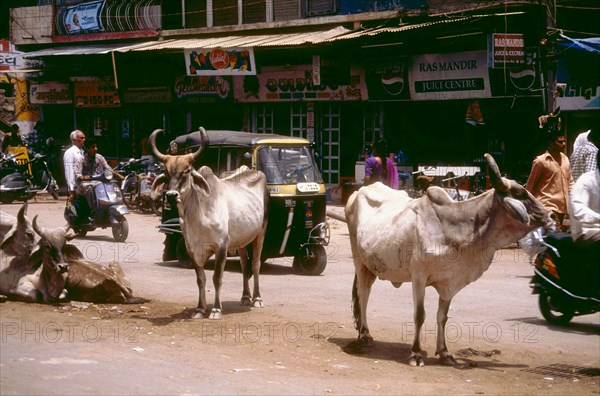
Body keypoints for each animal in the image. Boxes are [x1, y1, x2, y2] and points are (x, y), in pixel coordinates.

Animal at [149, 128, 268, 320]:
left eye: (186, 171)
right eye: (166, 172)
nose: (172, 195)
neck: (199, 214)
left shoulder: (221, 246)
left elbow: (217, 278)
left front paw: (216, 309)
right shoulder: (192, 248)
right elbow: (201, 279)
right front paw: (199, 309)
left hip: (260, 233)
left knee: (255, 264)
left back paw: (257, 298)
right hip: (241, 239)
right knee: (244, 264)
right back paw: (245, 297)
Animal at [344, 152, 556, 366]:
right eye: (520, 194)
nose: (550, 215)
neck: (456, 226)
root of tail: (358, 191)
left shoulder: (450, 281)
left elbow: (443, 317)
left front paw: (444, 352)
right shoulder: (418, 277)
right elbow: (419, 315)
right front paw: (416, 353)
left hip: (371, 265)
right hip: (359, 260)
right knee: (363, 294)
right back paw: (363, 335)